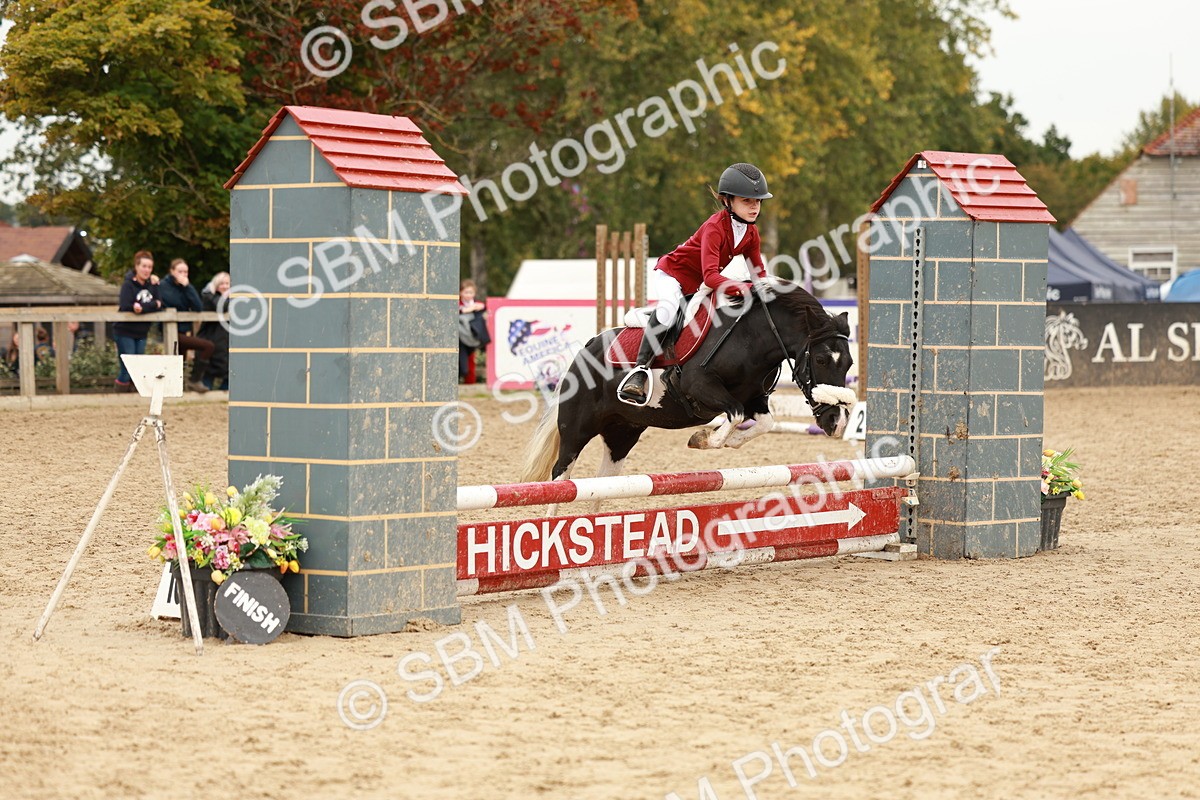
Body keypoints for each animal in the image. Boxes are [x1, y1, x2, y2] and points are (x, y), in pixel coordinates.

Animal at [520, 280, 857, 483]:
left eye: (850, 363)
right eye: (821, 360)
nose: (838, 422)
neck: (752, 337)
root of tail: (586, 348)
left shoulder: (754, 400)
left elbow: (764, 422)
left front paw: (724, 440)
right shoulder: (699, 386)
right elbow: (734, 415)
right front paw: (704, 438)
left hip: (622, 432)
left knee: (604, 483)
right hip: (577, 430)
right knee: (561, 475)